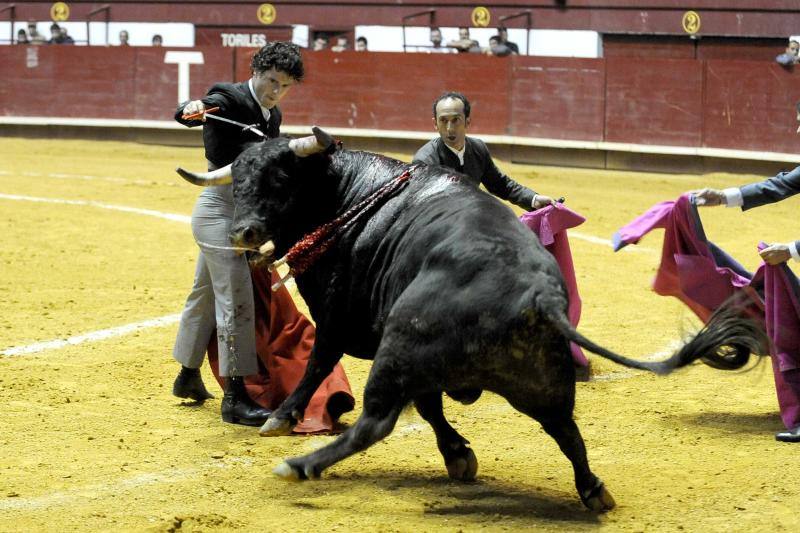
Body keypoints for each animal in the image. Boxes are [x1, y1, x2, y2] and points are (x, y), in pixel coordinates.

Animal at [180, 135, 764, 510]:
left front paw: (282, 417)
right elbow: (431, 407)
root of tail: (539, 294)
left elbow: (321, 362)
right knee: (565, 429)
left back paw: (301, 465)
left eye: (280, 176)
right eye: (238, 179)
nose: (243, 232)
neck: (346, 194)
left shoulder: (338, 316)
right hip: (539, 381)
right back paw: (593, 490)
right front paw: (459, 455)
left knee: (376, 422)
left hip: (400, 344)